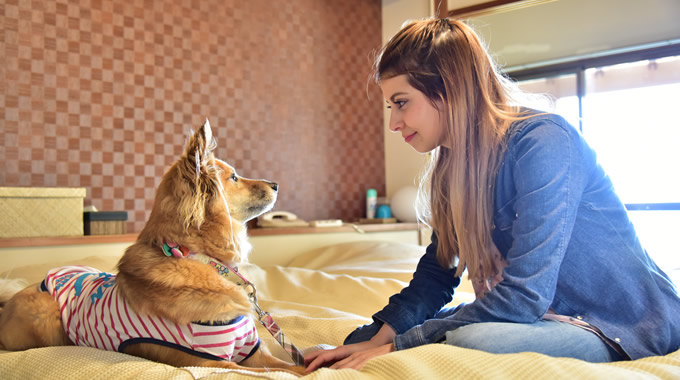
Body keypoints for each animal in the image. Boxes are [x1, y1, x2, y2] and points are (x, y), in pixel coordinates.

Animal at [0, 120, 306, 376]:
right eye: (233, 178)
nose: (276, 184)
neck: (203, 259)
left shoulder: (253, 352)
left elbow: (291, 364)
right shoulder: (212, 362)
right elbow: (284, 372)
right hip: (47, 316)